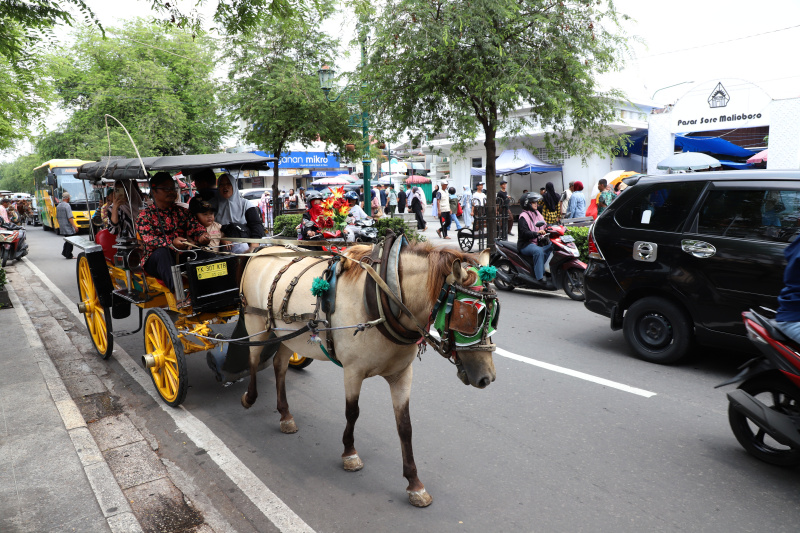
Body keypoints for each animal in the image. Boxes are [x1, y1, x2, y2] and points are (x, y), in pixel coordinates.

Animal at [241, 243, 496, 504]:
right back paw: (249, 397)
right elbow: (352, 412)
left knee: (279, 365)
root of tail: (264, 247)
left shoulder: (402, 374)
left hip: (287, 336)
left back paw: (285, 415)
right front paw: (349, 453)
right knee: (253, 358)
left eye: (494, 316)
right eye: (470, 316)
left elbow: (405, 426)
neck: (386, 299)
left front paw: (414, 483)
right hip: (256, 324)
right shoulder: (353, 371)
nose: (487, 377)